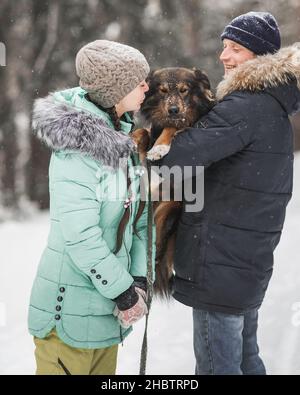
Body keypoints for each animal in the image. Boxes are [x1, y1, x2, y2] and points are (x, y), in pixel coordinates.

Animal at [132, 67, 214, 296]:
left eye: (184, 90)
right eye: (163, 91)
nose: (174, 110)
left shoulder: (188, 123)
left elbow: (171, 128)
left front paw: (160, 147)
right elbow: (143, 132)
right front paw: (132, 138)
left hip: (171, 208)